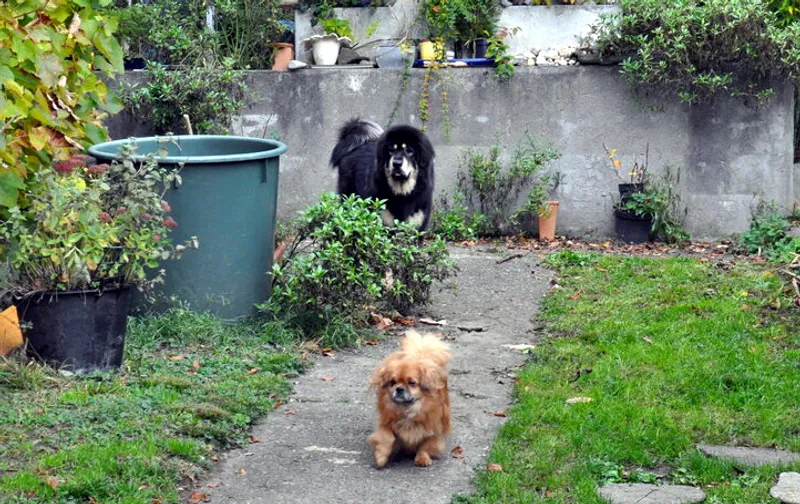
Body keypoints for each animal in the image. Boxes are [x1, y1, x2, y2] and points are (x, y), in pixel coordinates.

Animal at [368, 331, 451, 468]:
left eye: (412, 383)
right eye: (393, 382)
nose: (399, 388)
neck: (407, 409)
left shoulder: (434, 429)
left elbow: (426, 445)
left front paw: (422, 458)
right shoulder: (386, 424)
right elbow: (387, 438)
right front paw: (381, 457)